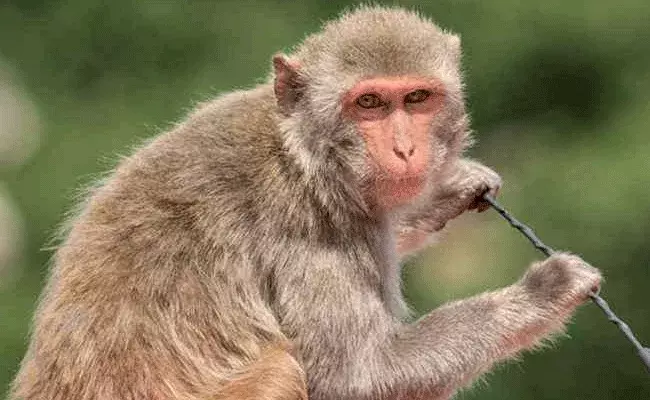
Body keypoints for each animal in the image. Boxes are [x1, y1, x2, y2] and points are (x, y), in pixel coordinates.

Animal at [10, 6, 601, 400]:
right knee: (281, 367)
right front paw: (543, 292)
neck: (304, 152)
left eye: (417, 99)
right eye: (369, 103)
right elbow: (361, 380)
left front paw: (450, 188)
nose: (405, 149)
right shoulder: (311, 233)